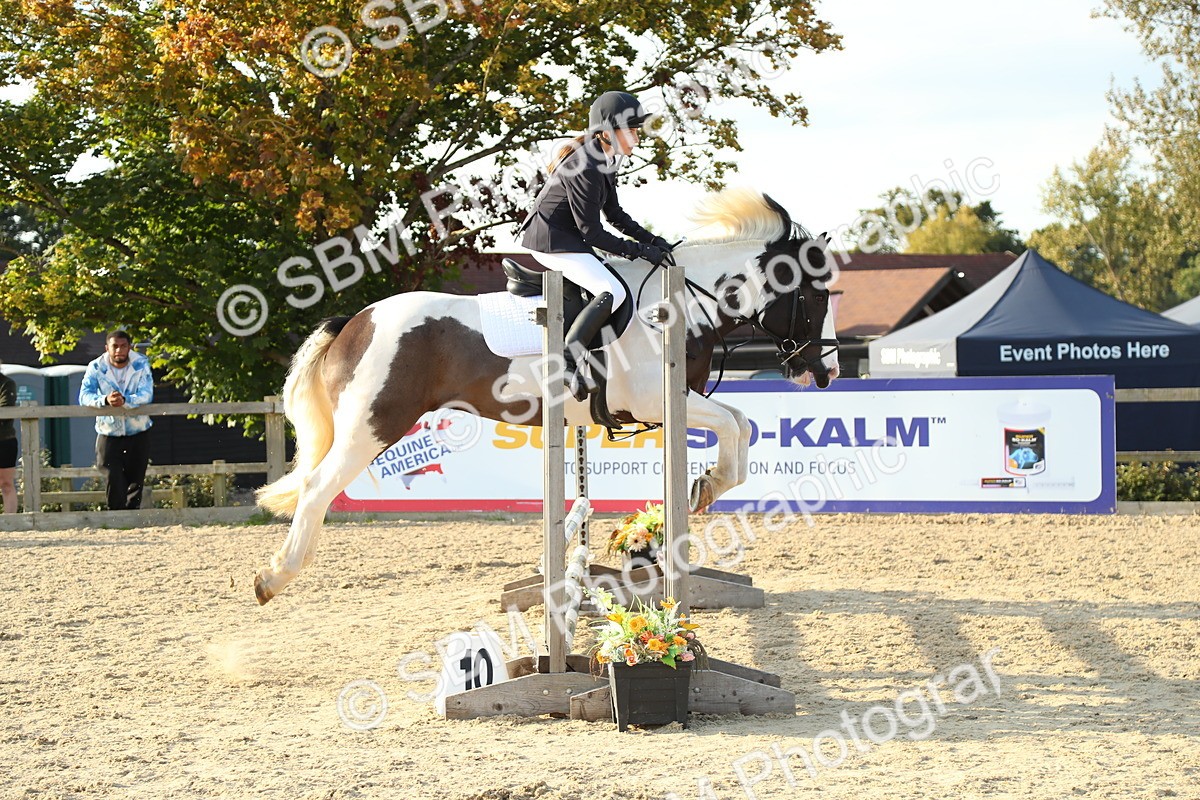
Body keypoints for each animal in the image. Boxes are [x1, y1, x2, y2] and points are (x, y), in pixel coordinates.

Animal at [253, 188, 839, 604]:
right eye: (815, 295)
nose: (826, 370)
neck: (680, 304)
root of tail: (353, 322)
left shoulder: (679, 401)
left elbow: (741, 424)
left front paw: (706, 485)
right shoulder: (656, 402)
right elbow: (735, 425)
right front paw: (706, 485)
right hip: (371, 426)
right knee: (317, 489)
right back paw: (274, 577)